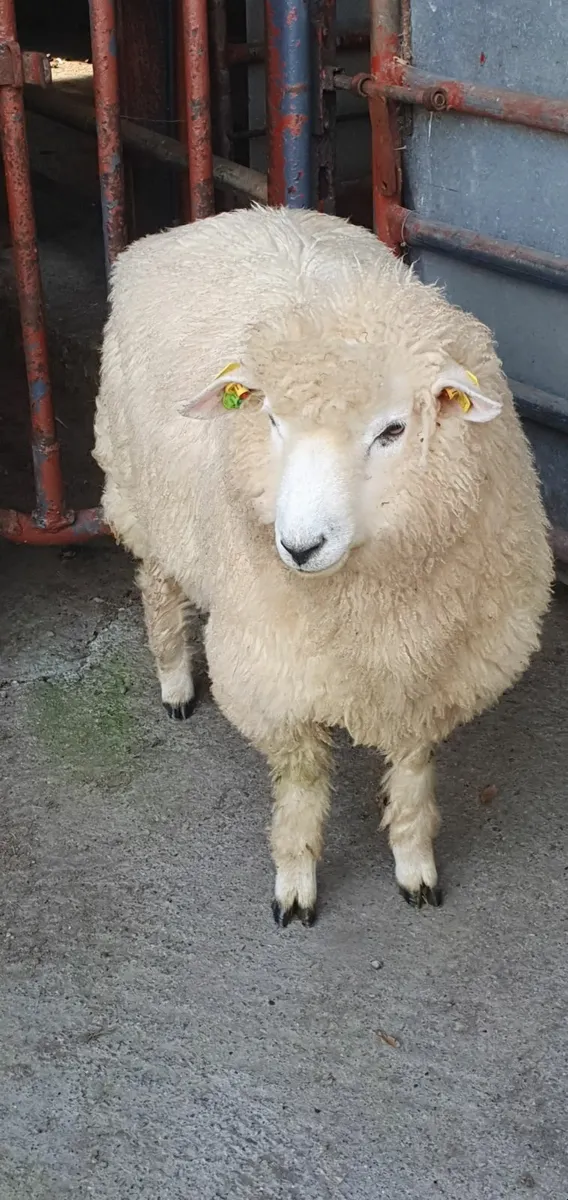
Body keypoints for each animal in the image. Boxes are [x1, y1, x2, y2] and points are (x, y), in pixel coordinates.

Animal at [94, 204, 553, 927]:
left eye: (393, 431)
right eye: (272, 420)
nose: (299, 546)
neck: (368, 603)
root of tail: (205, 222)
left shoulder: (430, 668)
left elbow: (413, 776)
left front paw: (415, 865)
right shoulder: (276, 676)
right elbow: (303, 787)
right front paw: (295, 881)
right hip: (141, 496)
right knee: (159, 589)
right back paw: (175, 684)